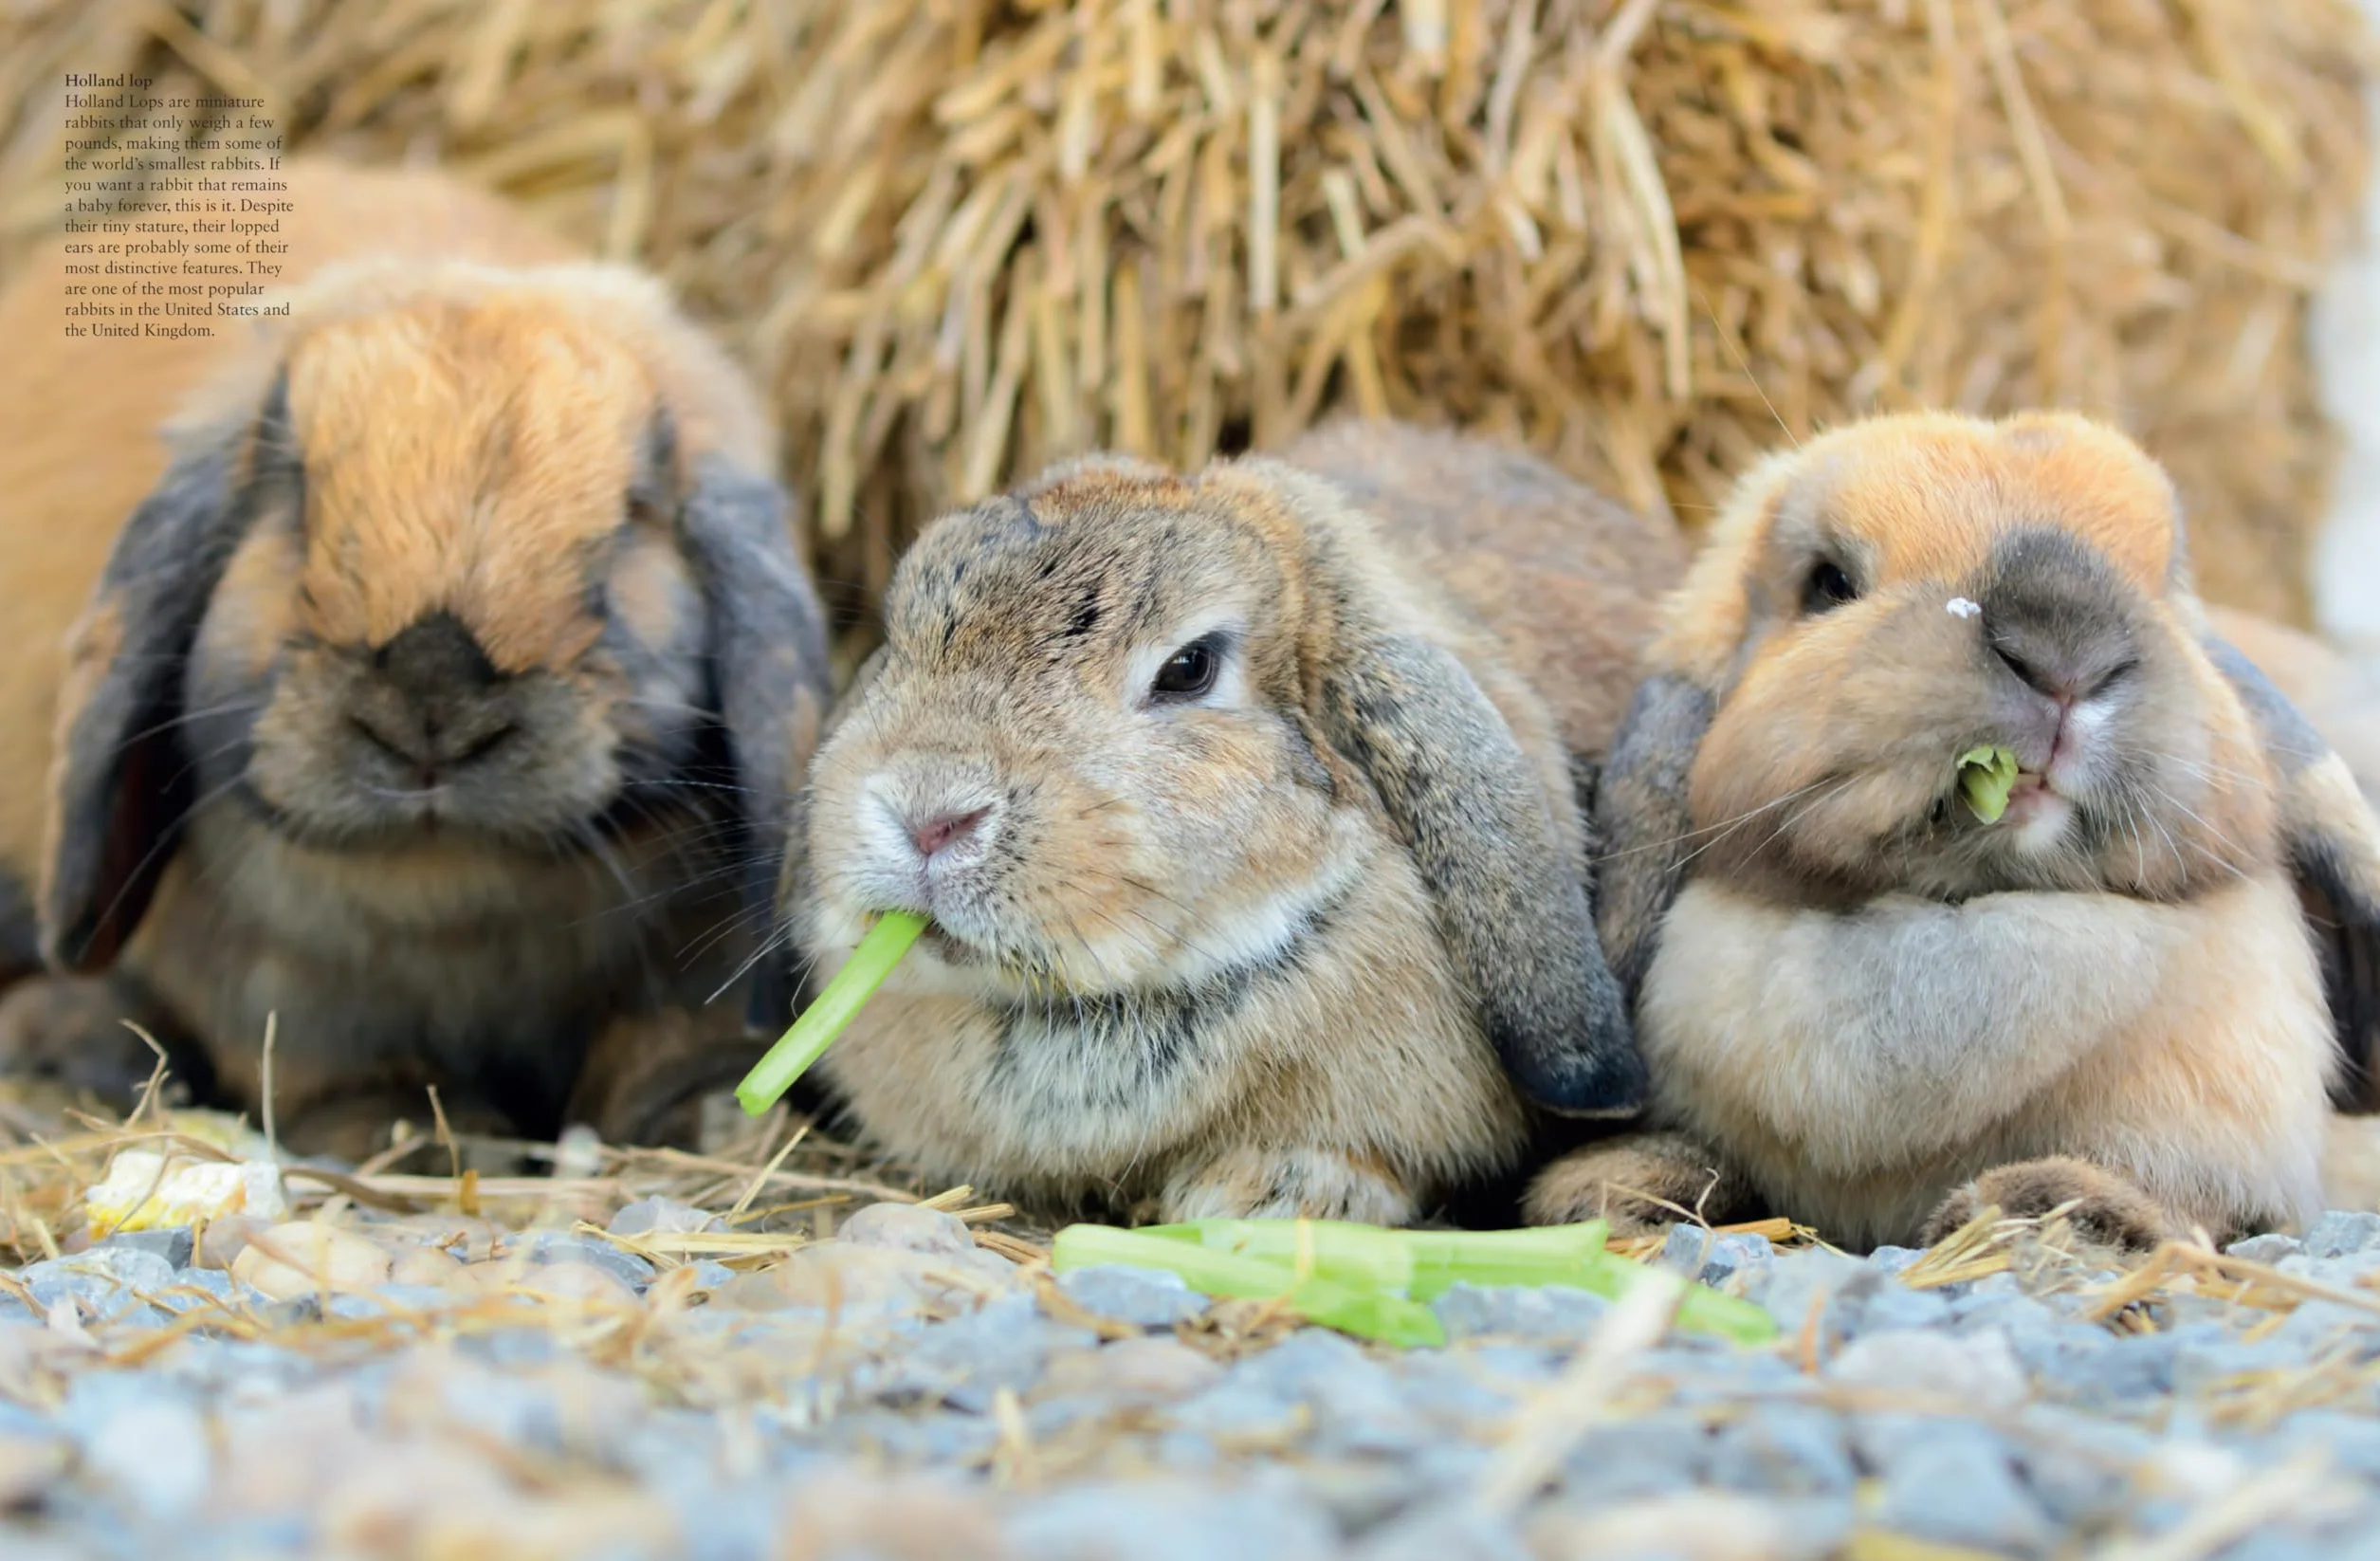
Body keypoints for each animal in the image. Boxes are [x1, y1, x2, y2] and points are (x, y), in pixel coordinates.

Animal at [0, 158, 829, 1158]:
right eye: (294, 498)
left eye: (631, 520)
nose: (433, 704)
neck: (446, 893)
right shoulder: (289, 1000)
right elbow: (332, 1073)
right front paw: (417, 1136)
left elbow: (669, 1040)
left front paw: (707, 1118)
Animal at [1522, 410, 2380, 1252]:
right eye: (1829, 583)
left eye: (2163, 583)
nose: (2066, 651)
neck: (1958, 907)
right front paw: (1605, 1191)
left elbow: (2183, 1194)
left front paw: (2061, 1211)